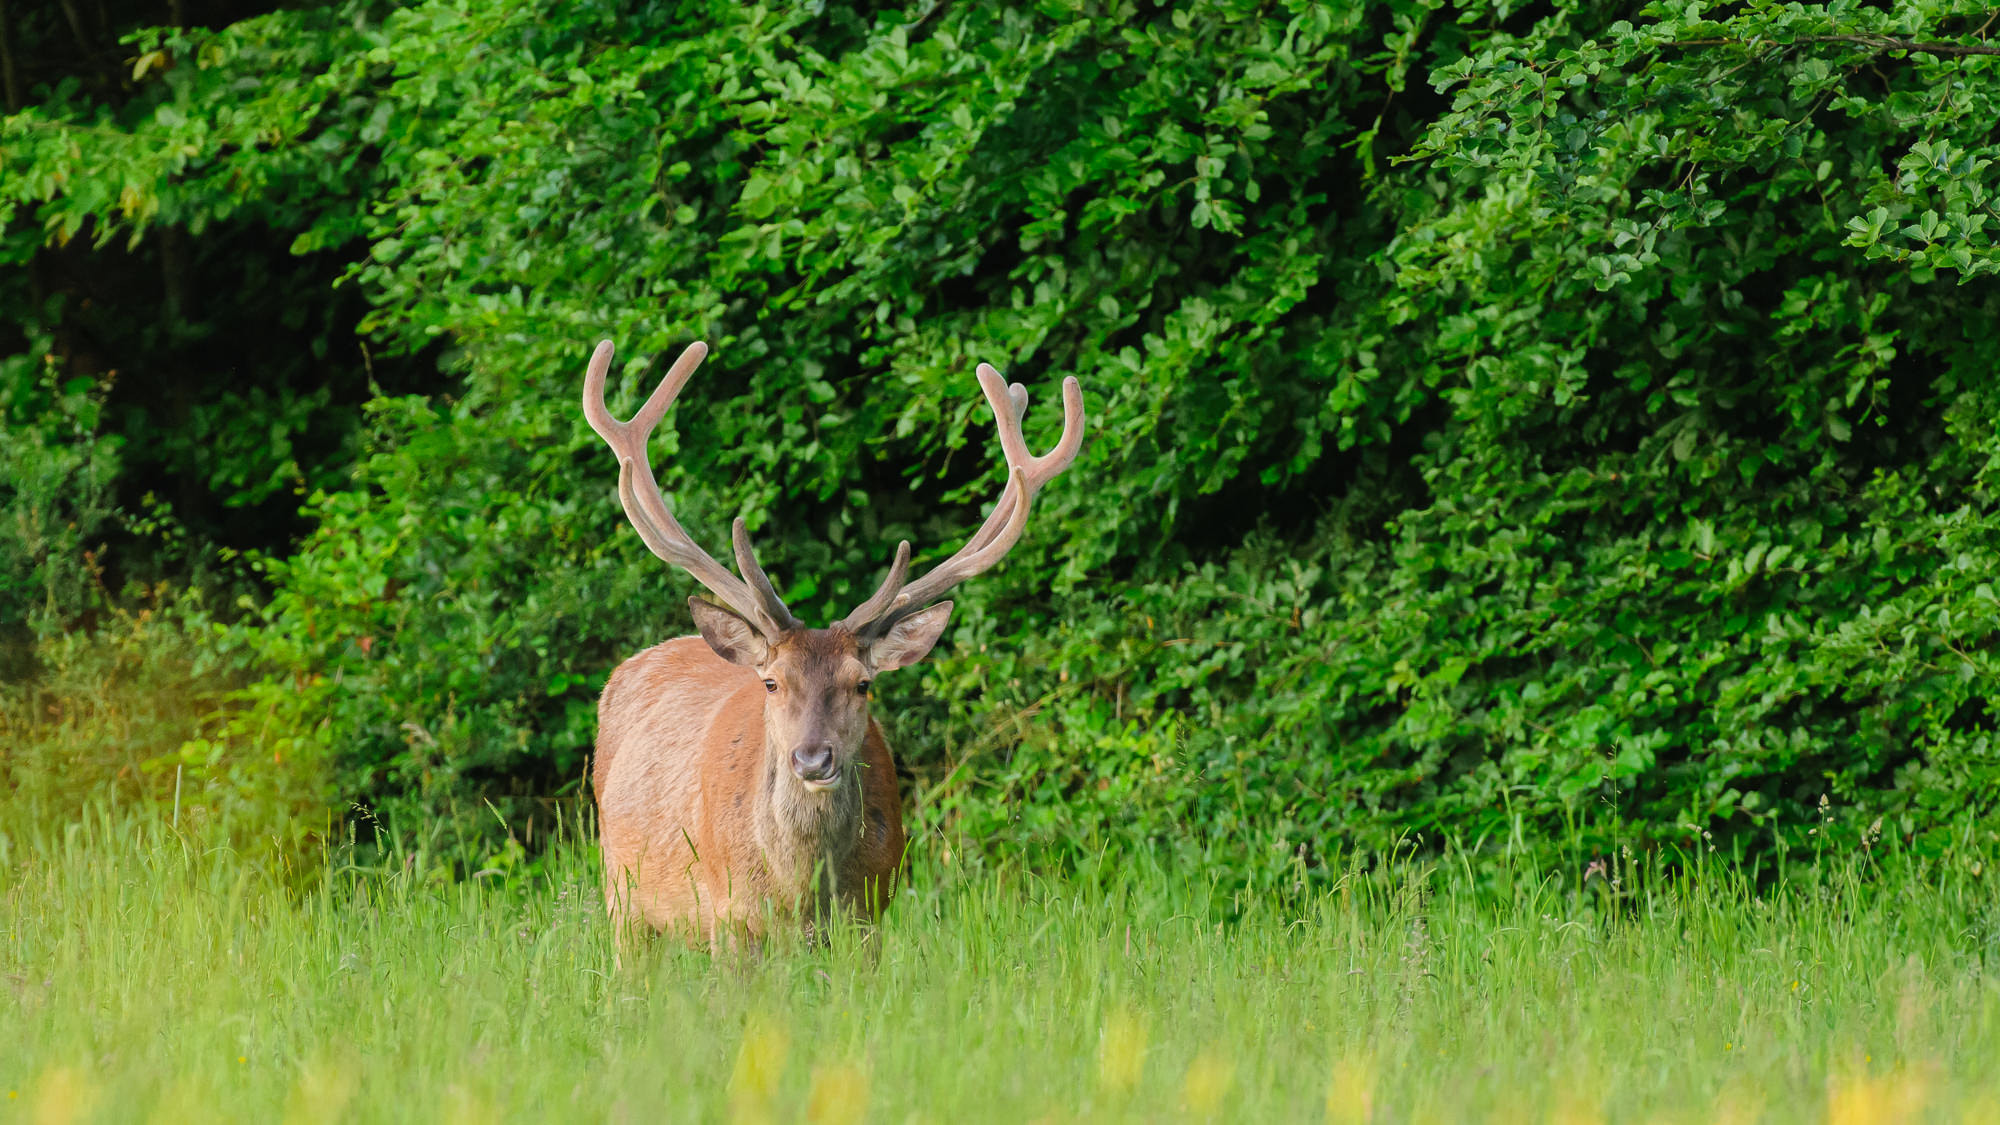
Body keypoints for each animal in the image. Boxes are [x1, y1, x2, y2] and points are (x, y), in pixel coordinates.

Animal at [582, 339, 1084, 951]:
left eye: (862, 684)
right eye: (771, 682)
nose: (813, 758)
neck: (802, 892)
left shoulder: (870, 913)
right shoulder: (728, 914)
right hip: (621, 894)